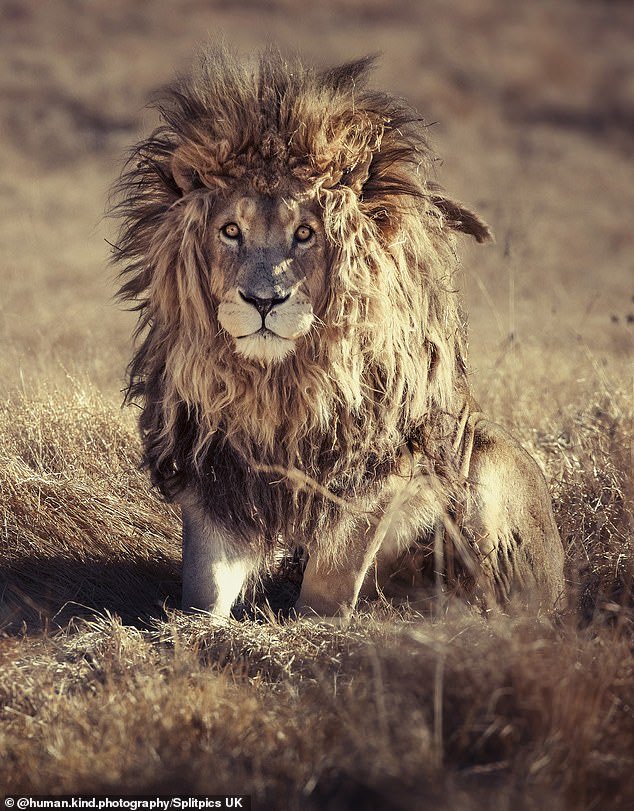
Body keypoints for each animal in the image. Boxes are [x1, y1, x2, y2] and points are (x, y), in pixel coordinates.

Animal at [111, 47, 565, 619]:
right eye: (230, 231)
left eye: (305, 234)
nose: (264, 300)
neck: (276, 388)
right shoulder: (216, 473)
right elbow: (206, 584)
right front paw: (191, 628)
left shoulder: (373, 475)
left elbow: (329, 584)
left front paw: (312, 627)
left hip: (485, 465)